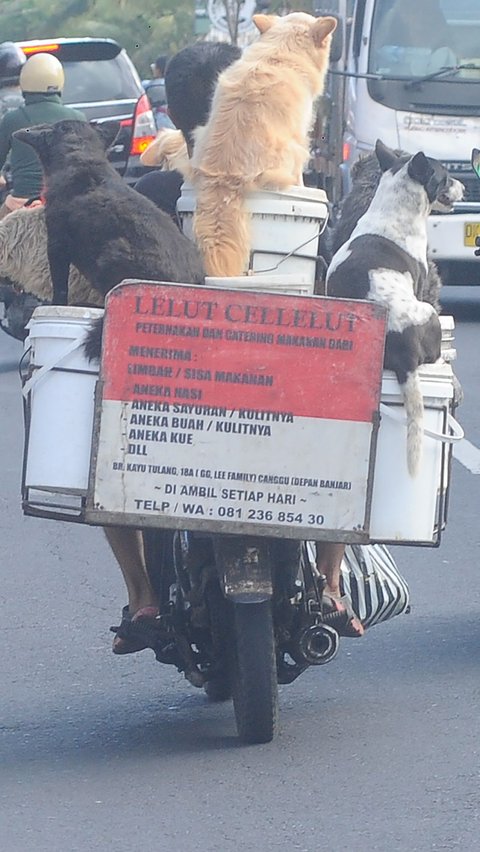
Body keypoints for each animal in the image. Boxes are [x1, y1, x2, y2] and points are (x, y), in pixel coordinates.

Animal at [324, 137, 464, 476]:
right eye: (445, 177)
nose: (465, 186)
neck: (393, 209)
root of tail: (404, 354)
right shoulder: (424, 286)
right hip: (429, 315)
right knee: (436, 353)